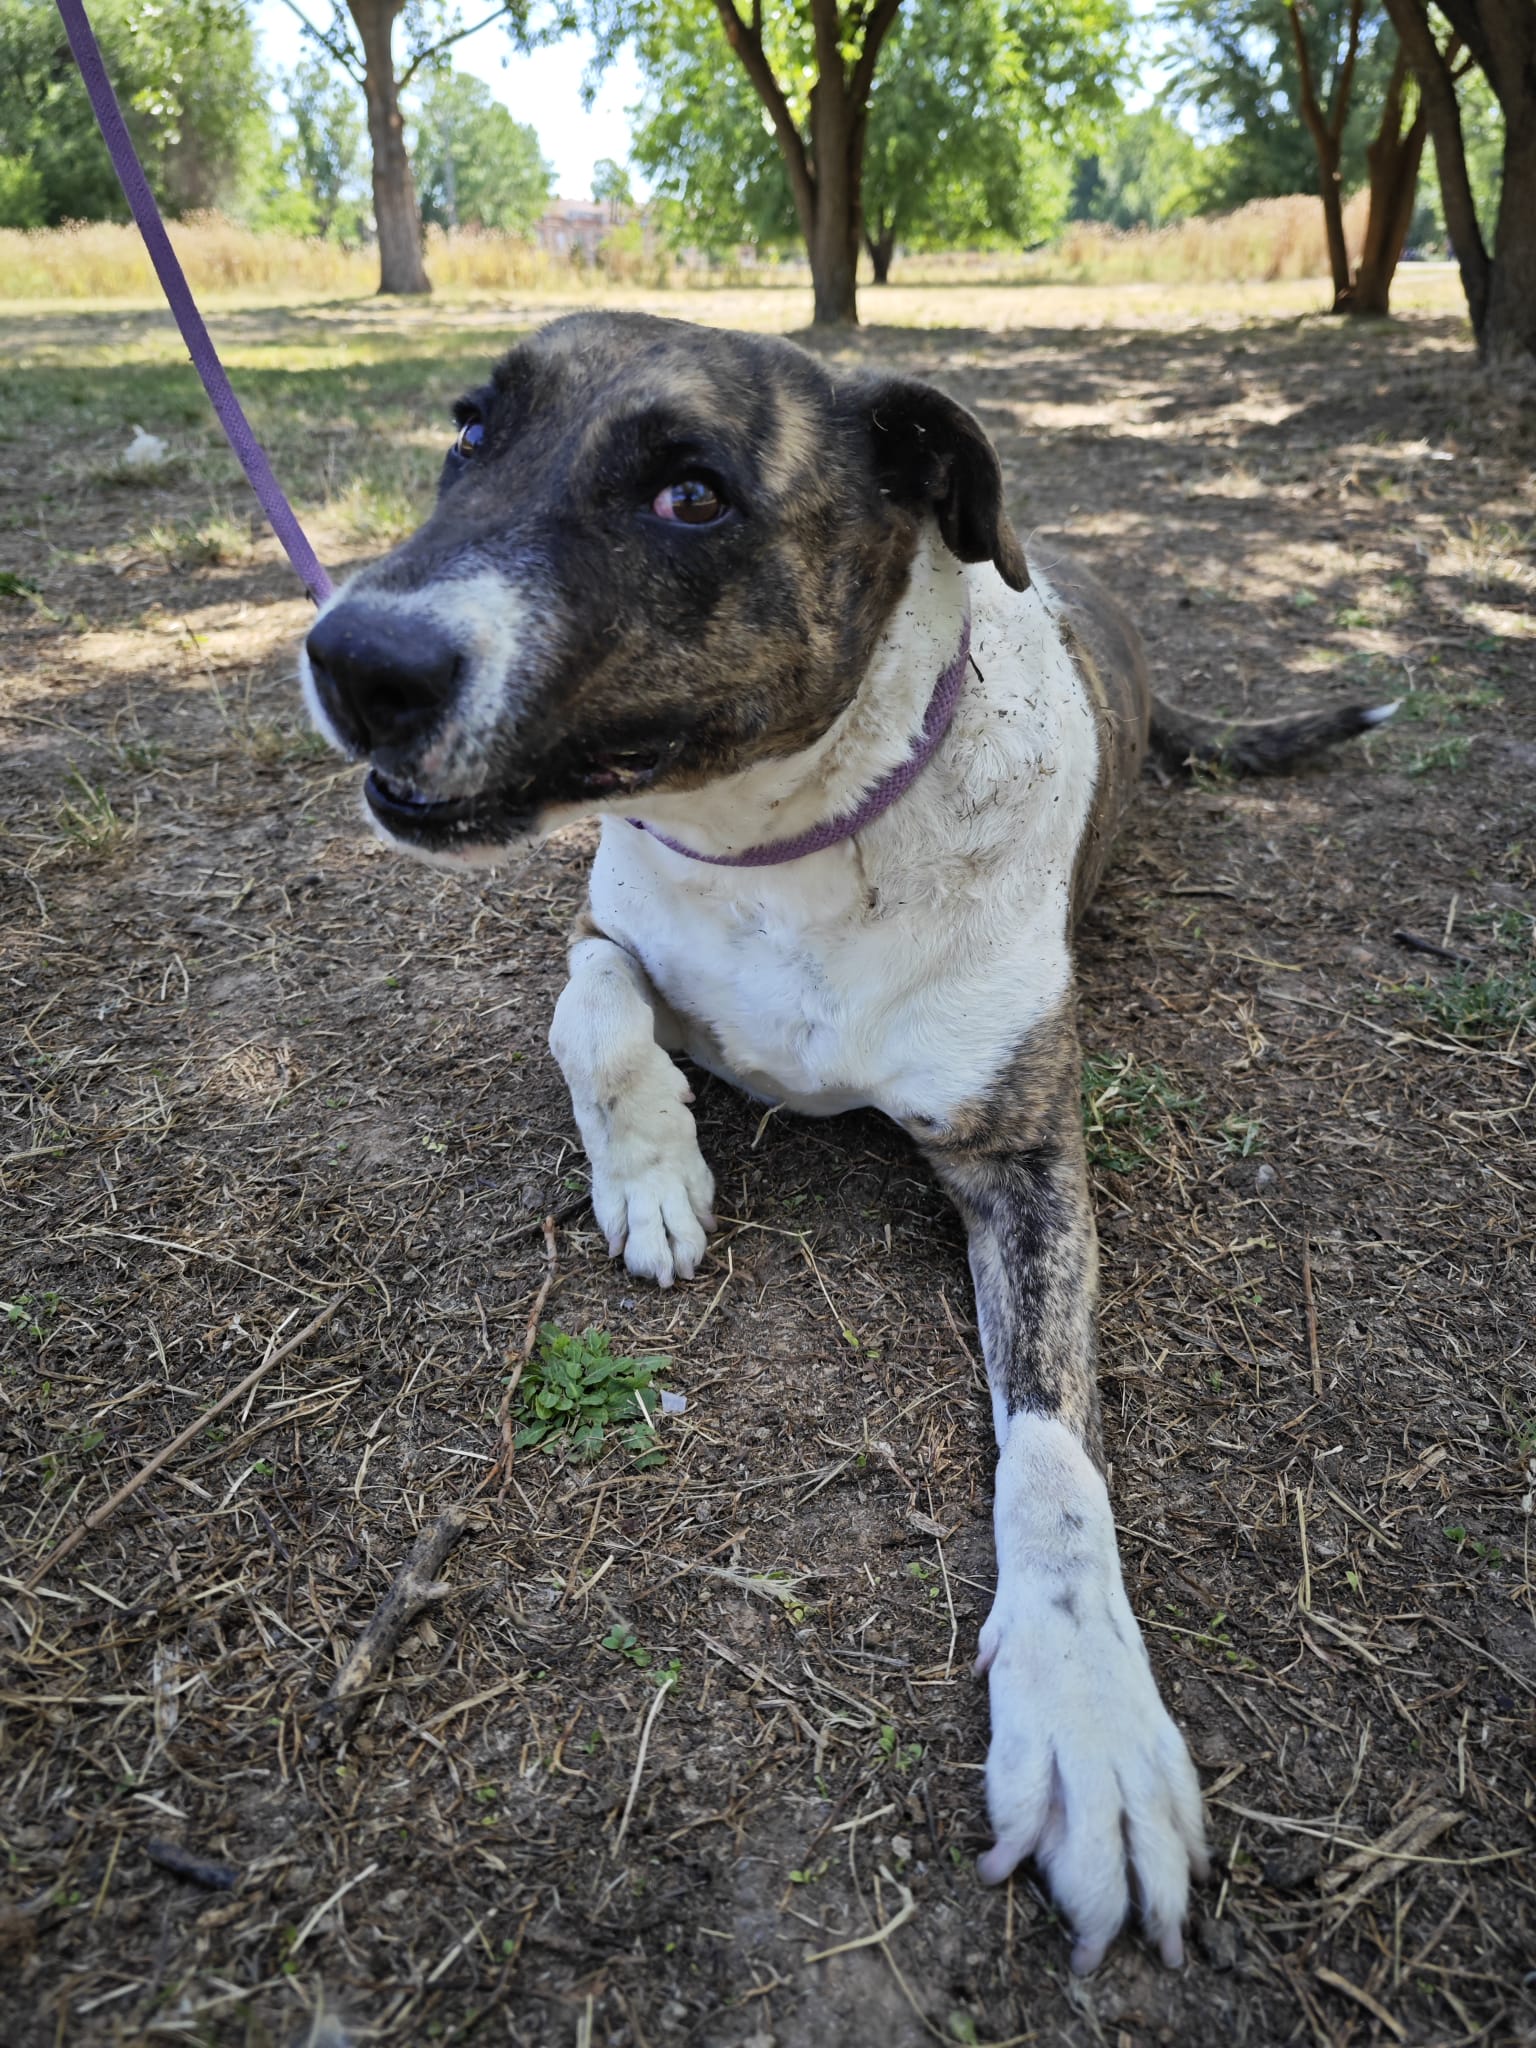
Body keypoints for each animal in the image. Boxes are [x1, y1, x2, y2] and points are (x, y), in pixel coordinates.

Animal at [296, 311, 1392, 1974]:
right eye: (471, 427)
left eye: (692, 495)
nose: (356, 657)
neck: (787, 847)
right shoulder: (616, 930)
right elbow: (591, 1011)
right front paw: (655, 1174)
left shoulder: (1027, 1161)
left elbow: (1052, 1456)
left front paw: (1086, 1717)